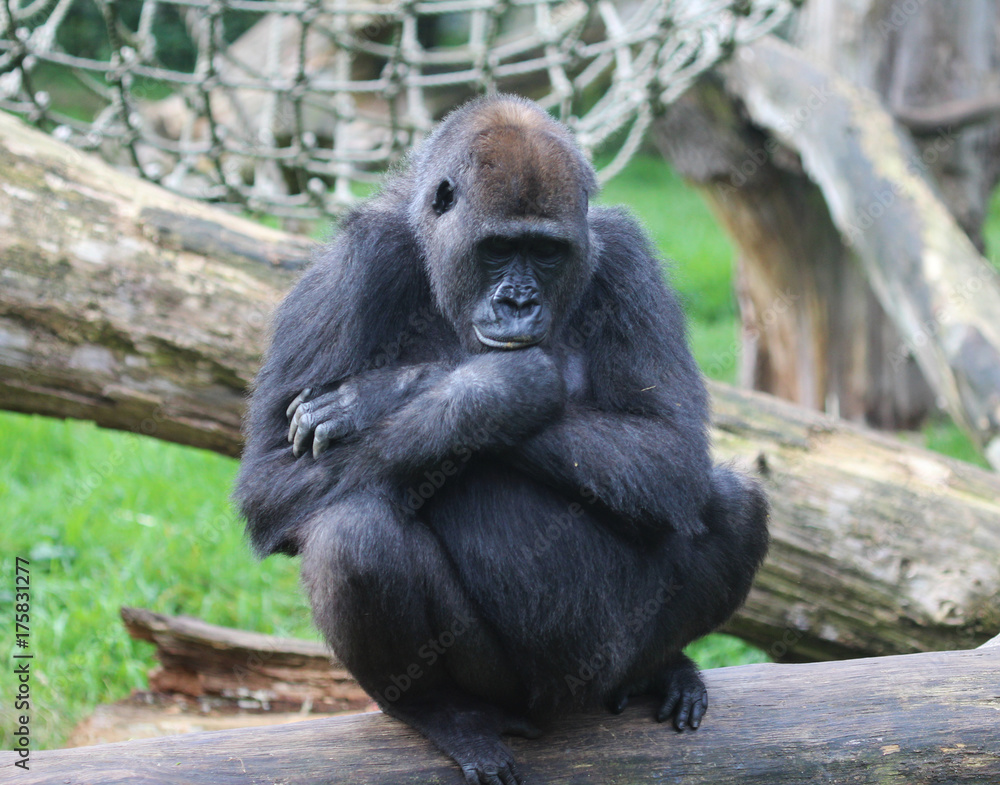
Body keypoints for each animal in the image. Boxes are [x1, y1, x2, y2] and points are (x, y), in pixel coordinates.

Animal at [234, 95, 764, 784]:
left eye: (545, 253)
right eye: (498, 249)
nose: (518, 303)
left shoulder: (627, 256)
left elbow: (670, 449)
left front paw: (396, 390)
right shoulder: (352, 267)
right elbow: (269, 480)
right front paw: (493, 389)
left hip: (609, 665)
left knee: (729, 501)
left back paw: (661, 666)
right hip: (504, 687)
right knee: (354, 536)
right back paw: (441, 712)